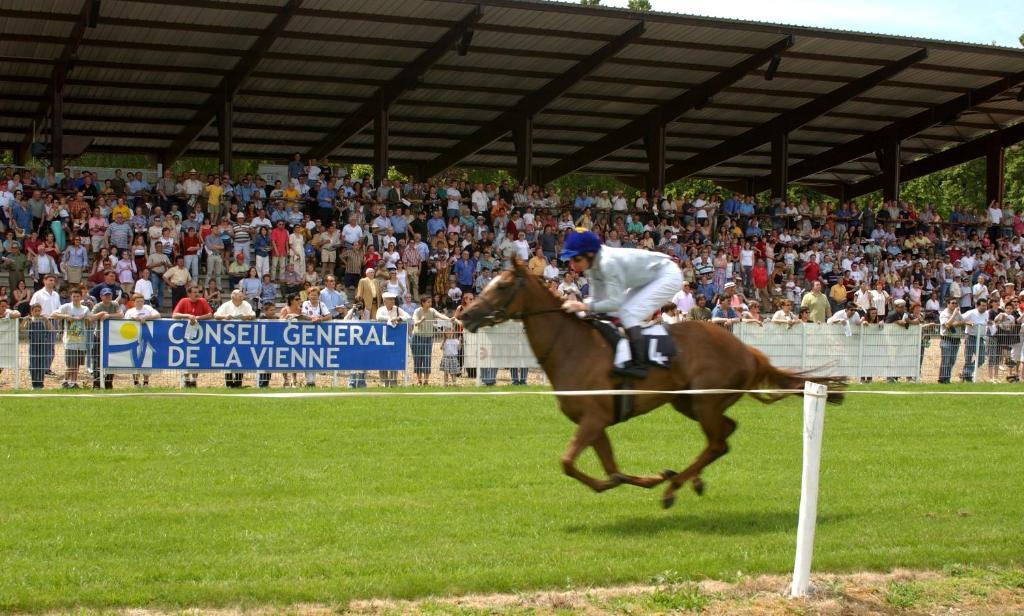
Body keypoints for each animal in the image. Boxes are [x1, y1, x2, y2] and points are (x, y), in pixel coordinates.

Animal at [460, 256, 843, 505]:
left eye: (503, 285)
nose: (465, 314)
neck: (572, 346)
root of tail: (747, 349)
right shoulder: (596, 422)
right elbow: (610, 471)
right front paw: (654, 477)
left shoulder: (593, 418)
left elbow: (569, 463)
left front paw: (661, 479)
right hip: (689, 401)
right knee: (725, 433)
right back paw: (690, 480)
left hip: (704, 400)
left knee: (718, 442)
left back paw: (675, 488)